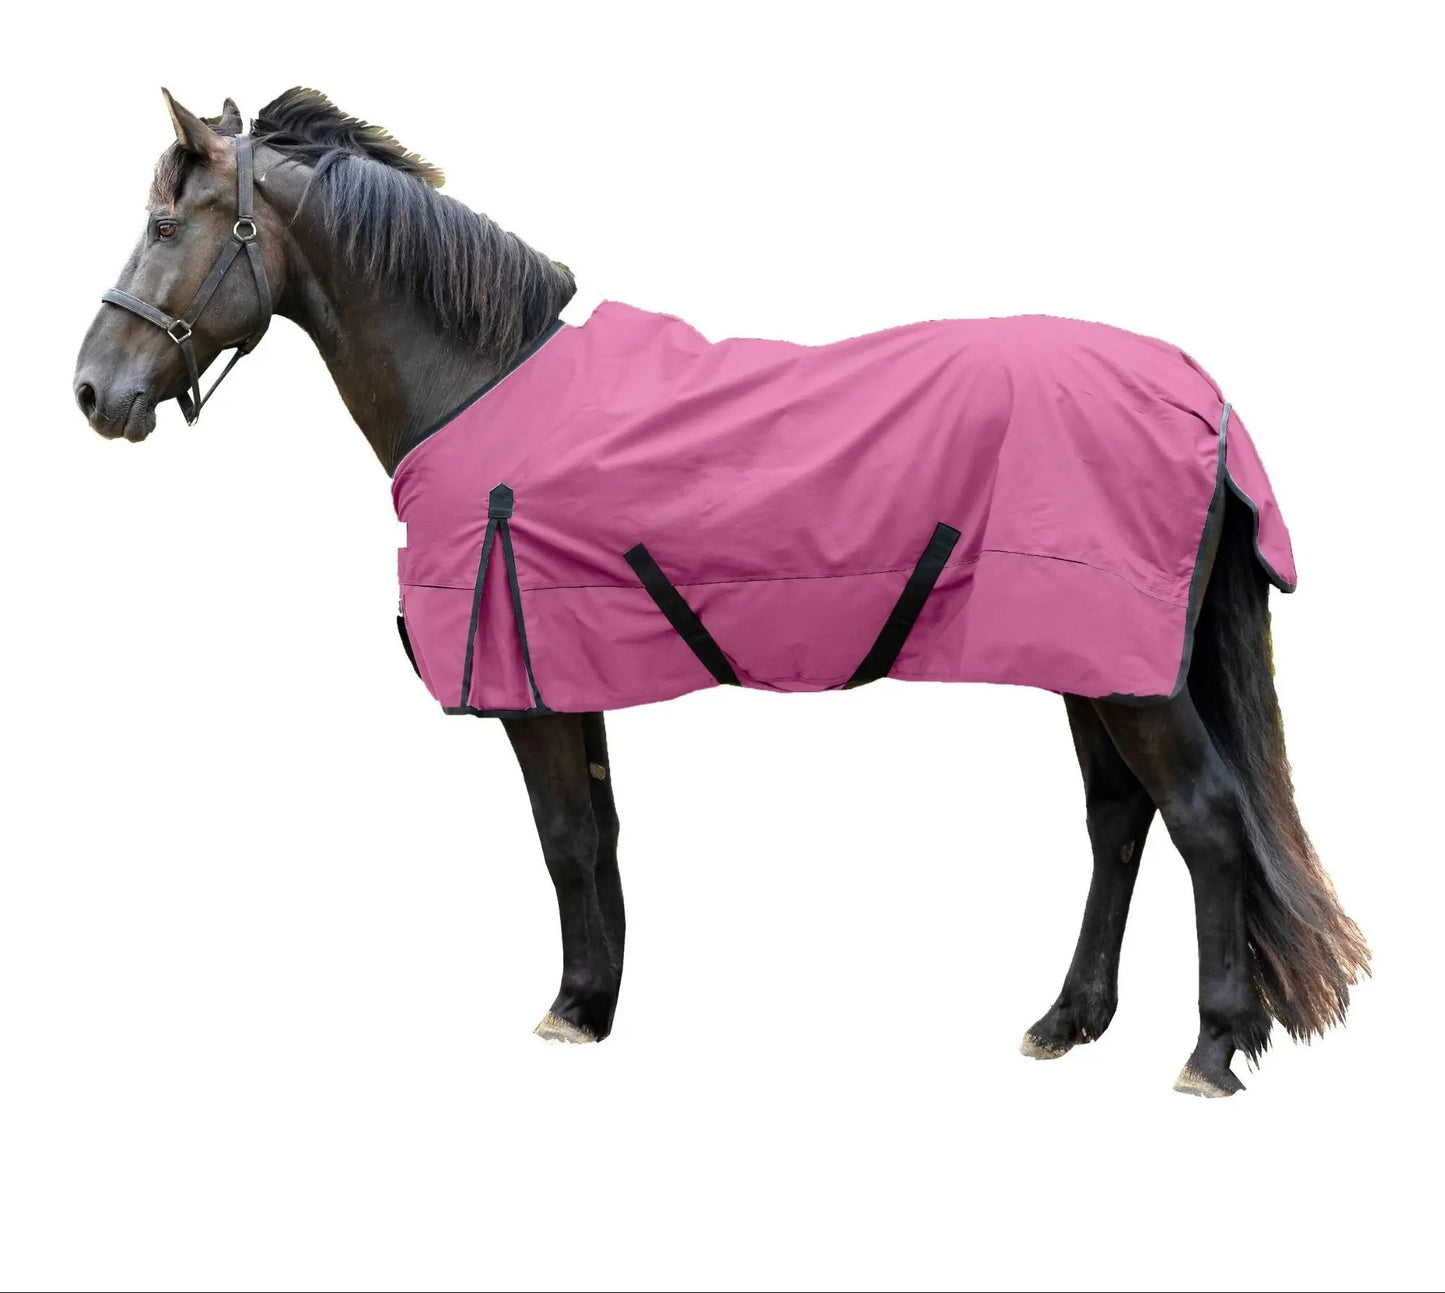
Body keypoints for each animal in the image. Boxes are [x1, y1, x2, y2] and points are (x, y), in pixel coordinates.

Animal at [72, 87, 1369, 1097]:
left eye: (163, 223)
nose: (90, 391)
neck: (482, 382)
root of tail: (1199, 393)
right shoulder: (569, 671)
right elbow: (596, 835)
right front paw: (595, 1001)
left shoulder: (530, 684)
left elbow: (561, 838)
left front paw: (569, 1009)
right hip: (1087, 664)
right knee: (1117, 823)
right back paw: (1067, 1022)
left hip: (1128, 679)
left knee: (1203, 821)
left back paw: (1208, 1050)